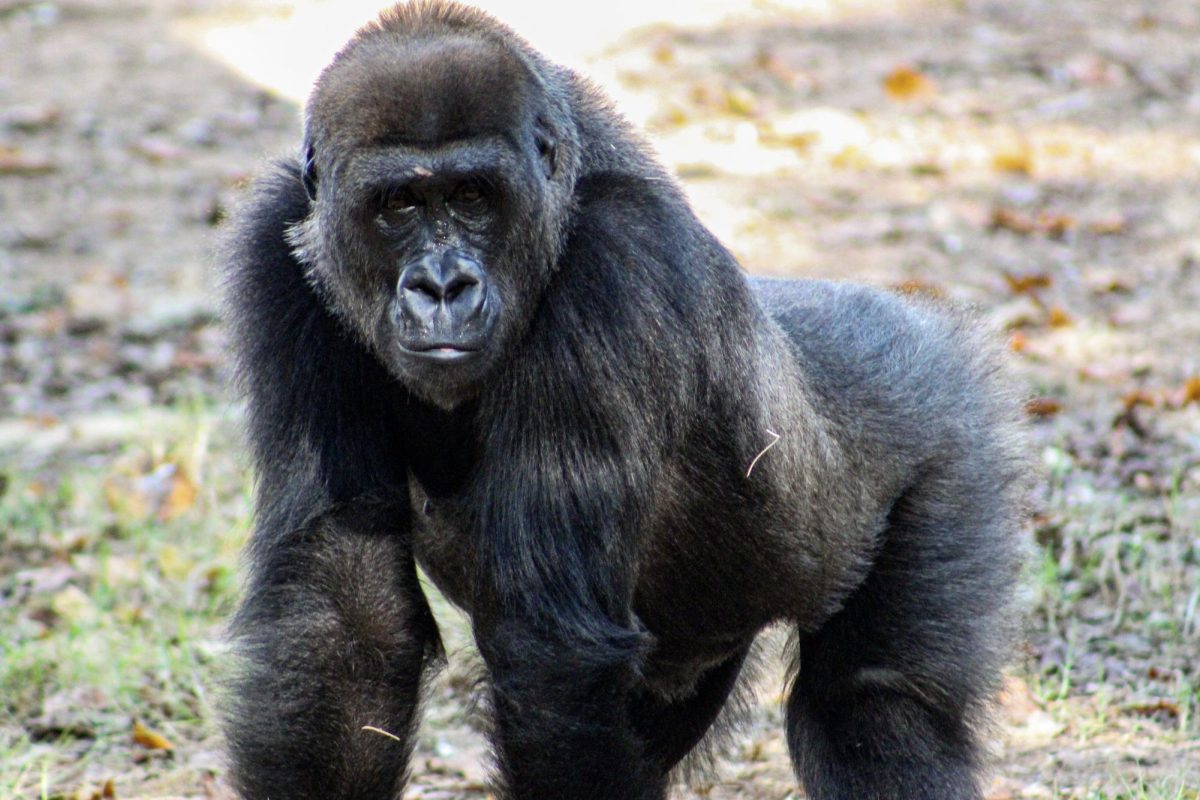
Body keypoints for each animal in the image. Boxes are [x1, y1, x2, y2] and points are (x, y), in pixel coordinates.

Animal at [220, 3, 1027, 796]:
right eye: (397, 205)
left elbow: (551, 651)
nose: (442, 286)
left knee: (874, 706)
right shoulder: (277, 247)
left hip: (952, 430)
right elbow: (343, 608)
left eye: (473, 197)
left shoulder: (617, 258)